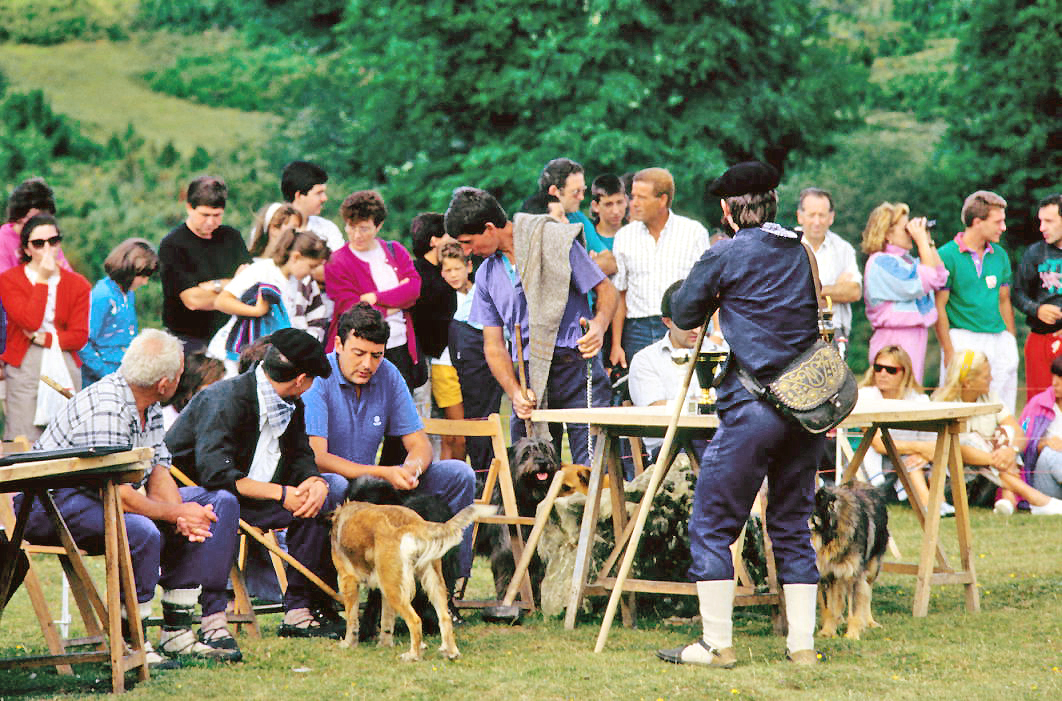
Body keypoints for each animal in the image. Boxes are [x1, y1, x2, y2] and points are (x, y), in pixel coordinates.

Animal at [329, 501, 494, 658]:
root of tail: (416, 523)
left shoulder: (348, 580)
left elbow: (352, 620)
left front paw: (348, 643)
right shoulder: (384, 590)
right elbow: (386, 622)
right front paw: (384, 645)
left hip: (393, 589)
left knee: (415, 621)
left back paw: (413, 655)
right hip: (429, 583)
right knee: (445, 618)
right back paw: (451, 652)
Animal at [811, 482, 887, 641]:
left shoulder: (853, 575)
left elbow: (855, 609)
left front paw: (852, 635)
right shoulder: (827, 575)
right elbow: (829, 608)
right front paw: (827, 631)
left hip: (872, 568)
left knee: (867, 594)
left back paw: (869, 621)